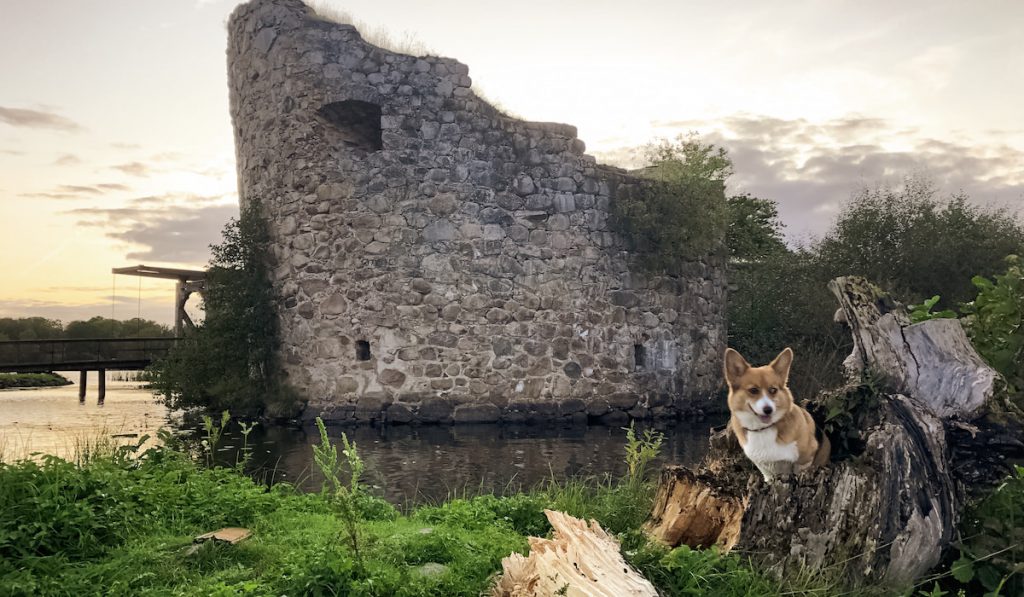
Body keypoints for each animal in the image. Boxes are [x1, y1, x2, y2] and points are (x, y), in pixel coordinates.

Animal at [724, 348, 827, 483]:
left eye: (773, 390)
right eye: (753, 390)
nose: (768, 410)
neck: (762, 429)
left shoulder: (804, 460)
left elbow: (799, 471)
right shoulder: (765, 470)